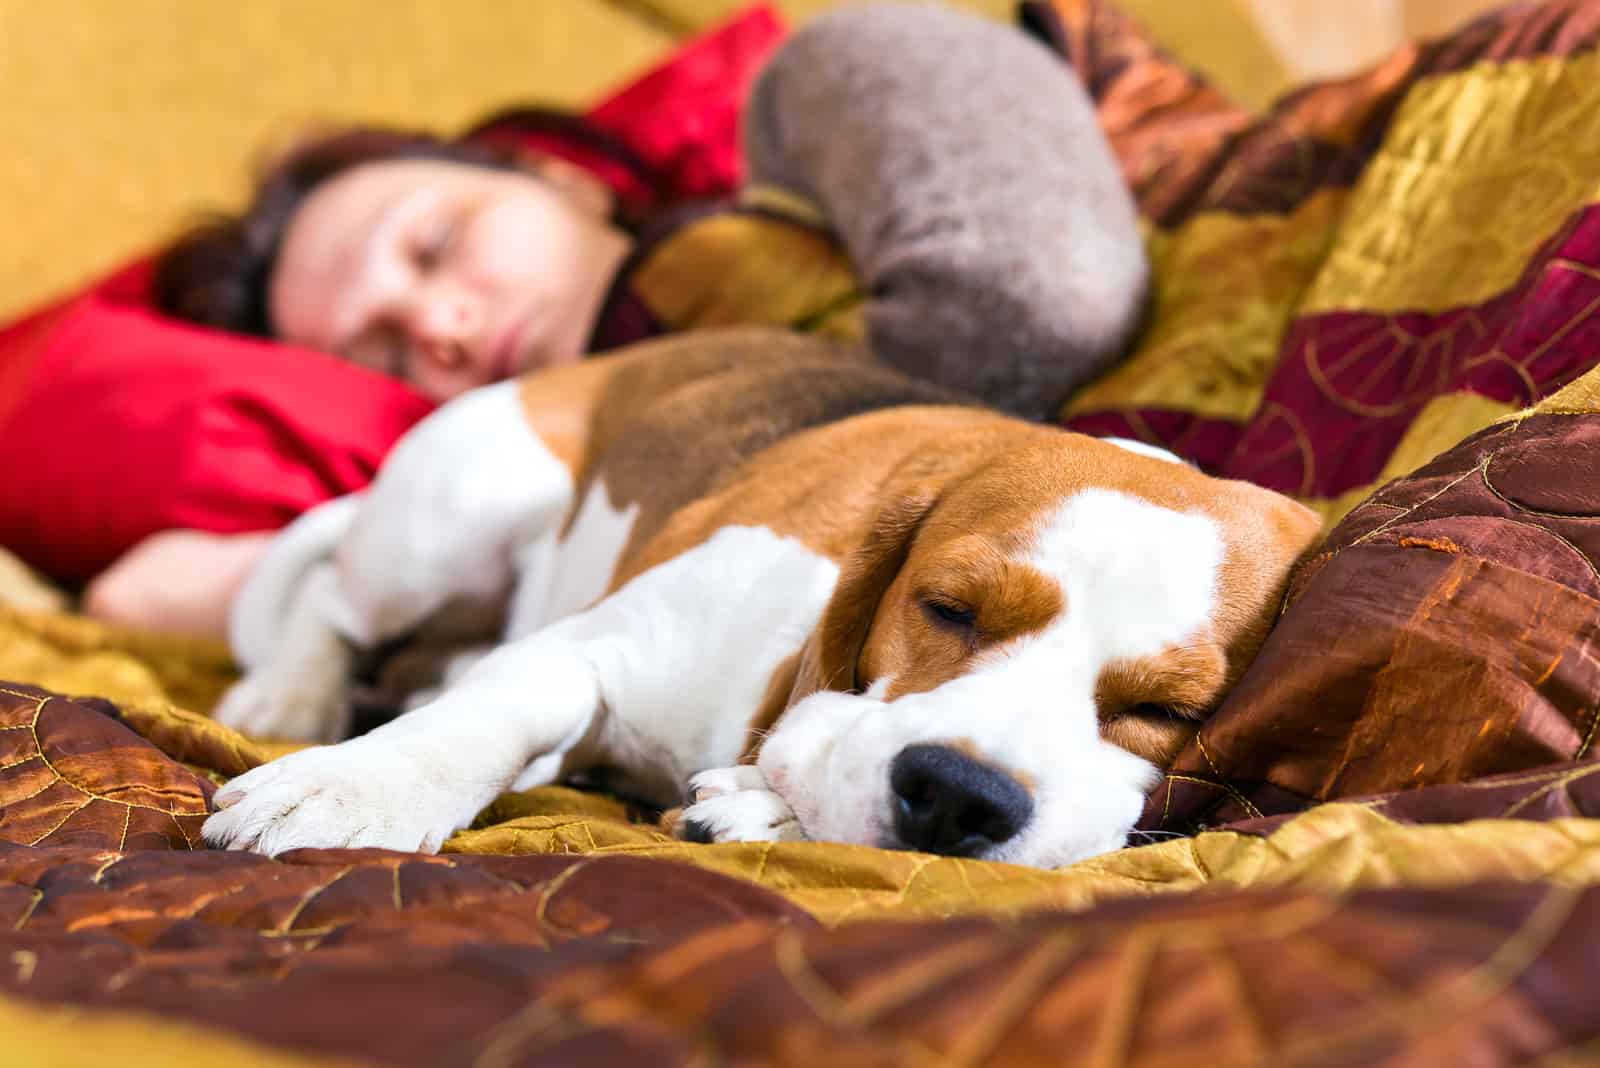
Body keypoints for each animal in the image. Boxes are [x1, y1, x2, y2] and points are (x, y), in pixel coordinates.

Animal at [203, 330, 1324, 869]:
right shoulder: (591, 648)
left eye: (1166, 711)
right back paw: (295, 694)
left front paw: (761, 808)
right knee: (338, 610)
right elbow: (487, 714)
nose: (961, 795)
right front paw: (356, 788)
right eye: (949, 609)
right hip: (456, 518)